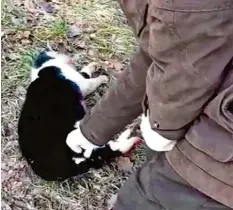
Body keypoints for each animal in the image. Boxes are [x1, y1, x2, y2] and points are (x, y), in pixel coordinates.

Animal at [17, 47, 140, 180]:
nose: (46, 49)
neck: (43, 68)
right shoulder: (82, 84)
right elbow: (89, 79)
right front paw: (103, 78)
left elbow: (85, 71)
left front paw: (94, 65)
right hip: (83, 141)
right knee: (111, 148)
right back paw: (131, 137)